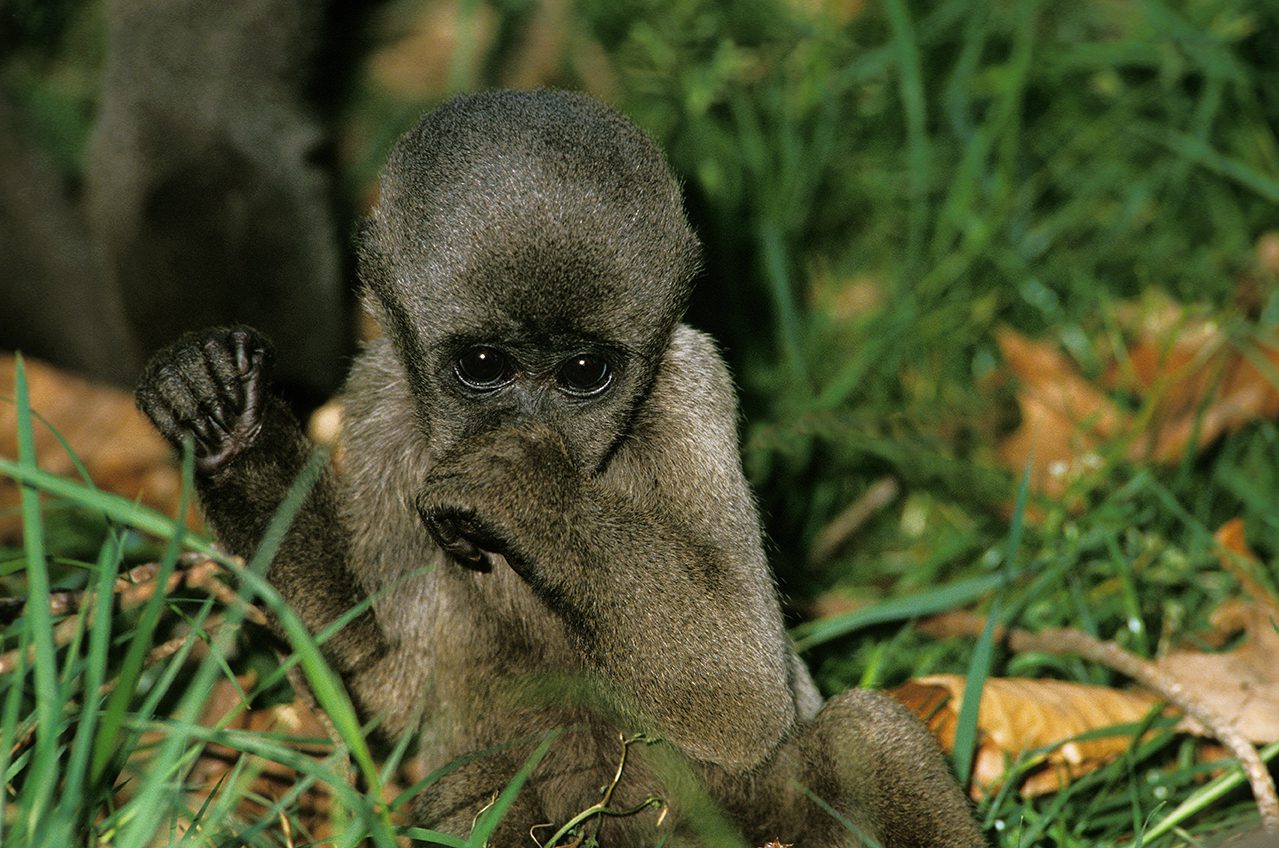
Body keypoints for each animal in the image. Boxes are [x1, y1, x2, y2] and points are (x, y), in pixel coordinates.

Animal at [135, 89, 985, 847]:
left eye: (583, 373)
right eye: (483, 366)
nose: (535, 428)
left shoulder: (692, 391)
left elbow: (741, 696)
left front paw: (523, 484)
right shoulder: (377, 400)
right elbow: (383, 672)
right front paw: (226, 420)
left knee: (865, 730)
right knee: (470, 789)